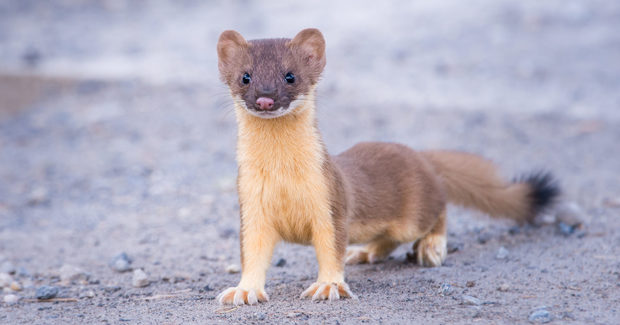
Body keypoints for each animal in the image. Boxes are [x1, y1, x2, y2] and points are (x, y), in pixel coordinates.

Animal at [216, 27, 560, 304]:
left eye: (290, 75)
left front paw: (328, 286)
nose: (265, 98)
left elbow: (331, 248)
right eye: (245, 76)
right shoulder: (251, 207)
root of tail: (419, 155)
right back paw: (365, 252)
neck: (282, 178)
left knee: (438, 211)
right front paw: (244, 291)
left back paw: (432, 247)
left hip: (415, 212)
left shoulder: (330, 200)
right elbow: (253, 253)